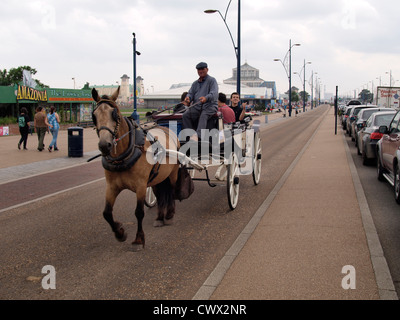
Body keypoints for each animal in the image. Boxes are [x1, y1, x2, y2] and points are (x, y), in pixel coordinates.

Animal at [92, 87, 180, 250]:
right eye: (94, 115)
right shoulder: (112, 186)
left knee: (171, 191)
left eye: (115, 114)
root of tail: (166, 129)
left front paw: (139, 239)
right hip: (157, 178)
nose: (104, 145)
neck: (124, 156)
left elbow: (139, 212)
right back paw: (159, 217)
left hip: (173, 173)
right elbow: (106, 213)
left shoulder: (140, 186)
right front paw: (120, 232)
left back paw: (169, 214)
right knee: (160, 195)